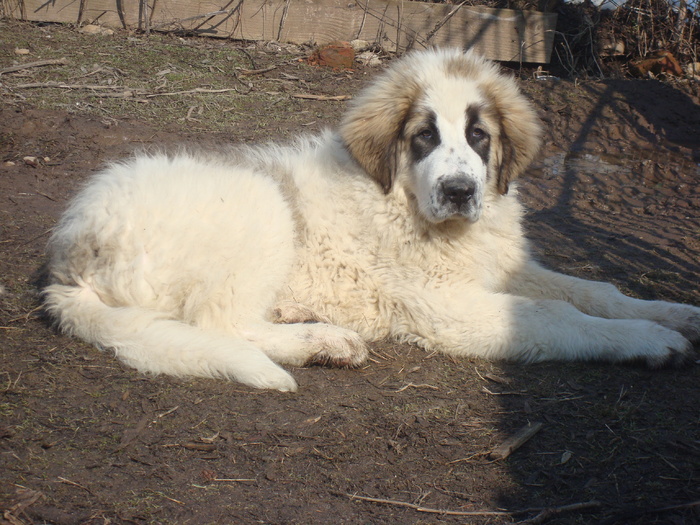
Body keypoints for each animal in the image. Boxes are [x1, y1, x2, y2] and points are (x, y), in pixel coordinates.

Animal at [42, 49, 696, 390]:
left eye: (479, 137)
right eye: (424, 137)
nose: (459, 191)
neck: (401, 202)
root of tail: (68, 261)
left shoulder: (506, 267)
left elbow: (597, 291)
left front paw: (673, 313)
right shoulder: (442, 305)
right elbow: (557, 315)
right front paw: (647, 340)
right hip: (262, 206)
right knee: (220, 323)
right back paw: (322, 342)